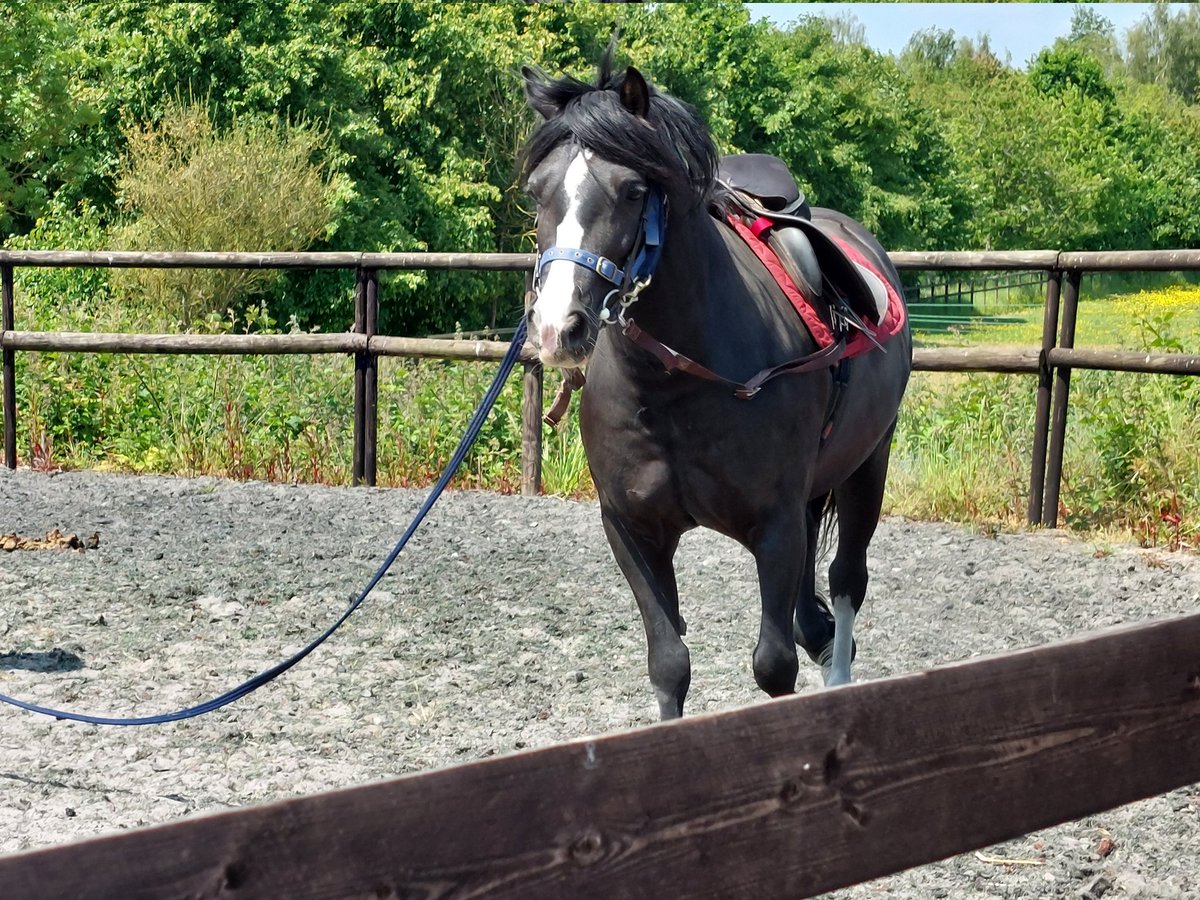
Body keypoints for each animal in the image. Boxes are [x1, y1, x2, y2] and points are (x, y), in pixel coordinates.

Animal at [518, 58, 907, 720]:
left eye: (632, 190)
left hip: (867, 467)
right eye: (538, 191)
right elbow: (669, 664)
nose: (556, 327)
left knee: (846, 581)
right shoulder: (633, 530)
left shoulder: (774, 527)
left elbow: (773, 665)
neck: (673, 388)